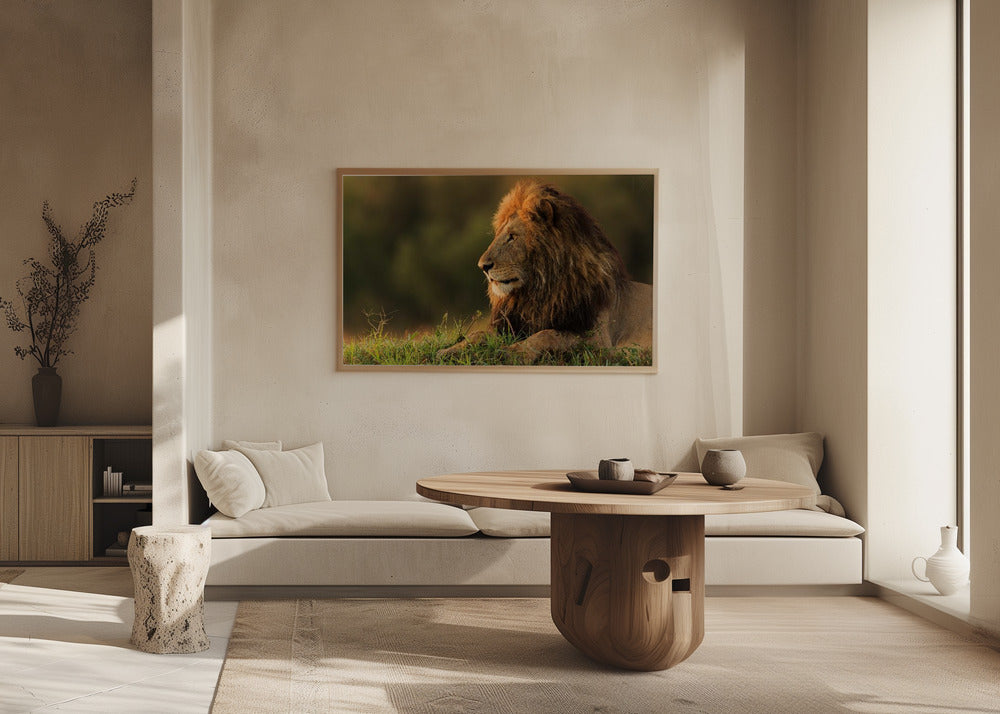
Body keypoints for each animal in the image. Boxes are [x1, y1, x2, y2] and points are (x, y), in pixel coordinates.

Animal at [438, 181, 653, 363]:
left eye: (512, 237)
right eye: (499, 235)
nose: (482, 266)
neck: (540, 291)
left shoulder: (599, 341)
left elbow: (547, 334)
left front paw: (513, 353)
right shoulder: (515, 323)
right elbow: (478, 334)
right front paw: (448, 351)